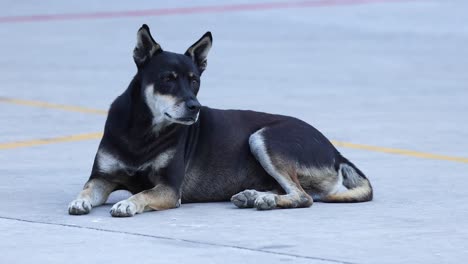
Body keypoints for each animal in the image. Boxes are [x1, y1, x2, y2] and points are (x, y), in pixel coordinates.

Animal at [67, 24, 372, 217]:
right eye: (168, 79)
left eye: (195, 81)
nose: (195, 107)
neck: (142, 132)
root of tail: (336, 152)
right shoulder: (102, 178)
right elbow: (87, 189)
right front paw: (80, 201)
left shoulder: (169, 188)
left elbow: (141, 194)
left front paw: (128, 204)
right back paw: (254, 196)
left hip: (263, 138)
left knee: (303, 197)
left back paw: (265, 199)